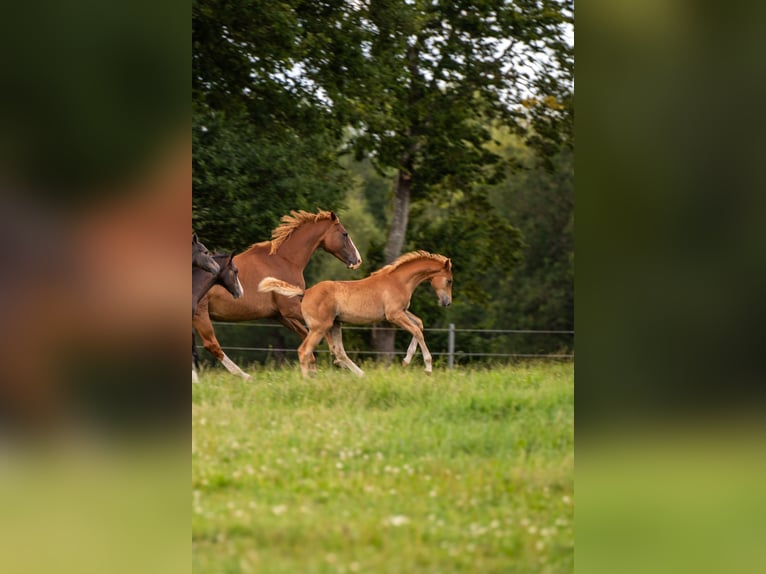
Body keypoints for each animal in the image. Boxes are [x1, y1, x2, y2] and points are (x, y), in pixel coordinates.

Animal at [192, 209, 362, 380]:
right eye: (345, 234)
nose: (357, 260)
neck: (284, 260)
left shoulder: (280, 315)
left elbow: (305, 335)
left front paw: (313, 372)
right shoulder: (291, 308)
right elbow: (323, 332)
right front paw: (343, 363)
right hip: (201, 315)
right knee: (212, 345)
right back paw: (245, 376)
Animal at [258, 250, 452, 377]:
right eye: (450, 281)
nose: (447, 303)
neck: (398, 281)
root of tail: (305, 292)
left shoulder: (402, 312)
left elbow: (418, 324)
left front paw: (406, 360)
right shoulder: (394, 314)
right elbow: (417, 330)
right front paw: (428, 368)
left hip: (335, 325)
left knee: (338, 352)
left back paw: (361, 375)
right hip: (319, 328)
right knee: (304, 351)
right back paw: (308, 382)